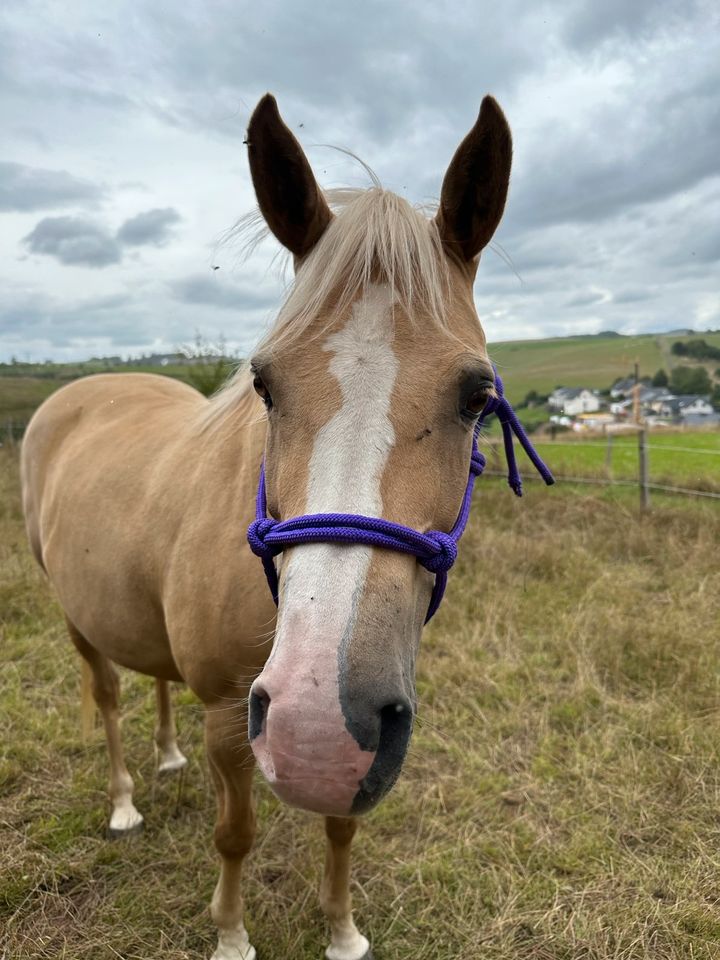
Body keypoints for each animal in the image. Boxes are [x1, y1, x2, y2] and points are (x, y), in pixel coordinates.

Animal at [21, 94, 528, 960]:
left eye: (476, 395)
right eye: (264, 384)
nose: (315, 723)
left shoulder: (365, 728)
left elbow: (341, 826)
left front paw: (343, 930)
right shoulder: (232, 715)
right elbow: (236, 833)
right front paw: (230, 935)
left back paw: (167, 756)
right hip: (74, 616)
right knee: (111, 696)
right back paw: (124, 800)